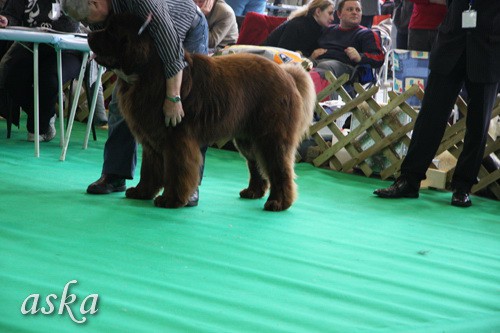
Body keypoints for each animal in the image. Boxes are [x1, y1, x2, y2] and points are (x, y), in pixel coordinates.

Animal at [88, 14, 314, 210]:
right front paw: (142, 192)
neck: (150, 71)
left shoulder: (177, 139)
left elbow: (177, 170)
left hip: (271, 136)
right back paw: (253, 192)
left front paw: (171, 200)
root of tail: (287, 75)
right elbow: (149, 169)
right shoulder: (152, 139)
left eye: (111, 31)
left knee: (280, 169)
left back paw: (278, 203)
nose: (89, 35)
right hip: (247, 138)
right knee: (256, 164)